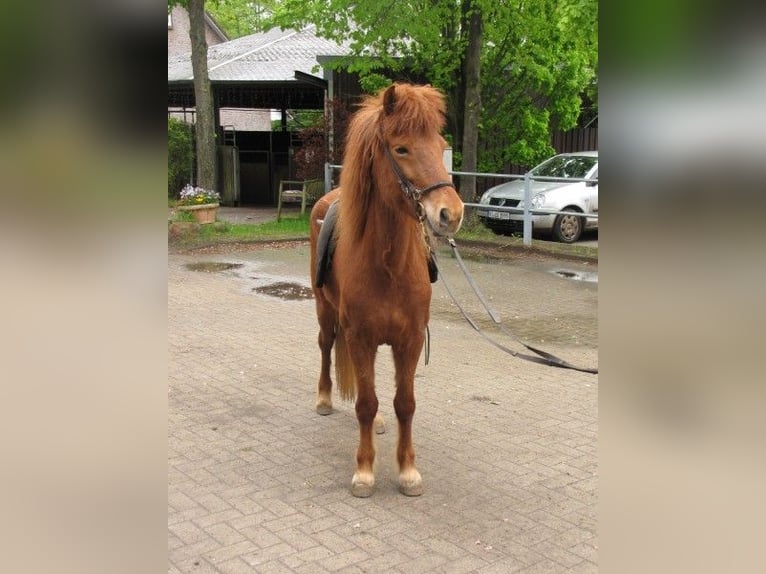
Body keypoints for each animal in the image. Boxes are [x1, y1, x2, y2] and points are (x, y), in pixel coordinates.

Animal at [308, 83, 464, 498]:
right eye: (402, 148)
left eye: (440, 144)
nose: (451, 214)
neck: (389, 266)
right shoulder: (359, 336)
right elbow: (365, 402)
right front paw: (364, 471)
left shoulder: (409, 339)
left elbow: (404, 403)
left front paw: (408, 471)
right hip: (325, 311)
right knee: (326, 346)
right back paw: (324, 398)